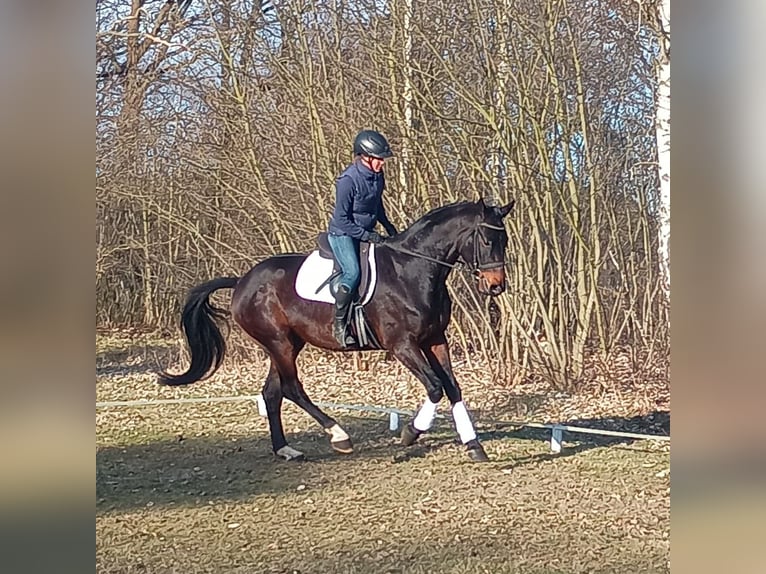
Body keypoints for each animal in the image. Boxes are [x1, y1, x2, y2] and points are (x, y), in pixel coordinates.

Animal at [158, 198, 514, 462]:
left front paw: (474, 445)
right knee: (292, 389)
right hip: (279, 342)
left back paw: (285, 449)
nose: (496, 286)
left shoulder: (435, 339)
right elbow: (436, 387)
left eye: (505, 240)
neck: (412, 269)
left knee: (273, 392)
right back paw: (339, 435)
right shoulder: (403, 345)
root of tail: (242, 280)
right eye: (486, 240)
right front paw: (410, 434)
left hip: (286, 344)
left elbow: (452, 388)